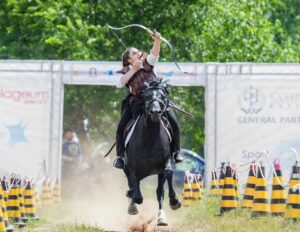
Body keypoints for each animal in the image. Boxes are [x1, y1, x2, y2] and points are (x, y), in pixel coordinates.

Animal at [123, 80, 180, 227]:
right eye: (147, 97)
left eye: (163, 97)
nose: (155, 112)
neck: (150, 138)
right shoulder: (131, 167)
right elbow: (137, 195)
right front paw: (133, 202)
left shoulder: (164, 164)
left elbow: (167, 177)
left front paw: (174, 201)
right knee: (133, 187)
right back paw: (132, 205)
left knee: (159, 191)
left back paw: (161, 217)